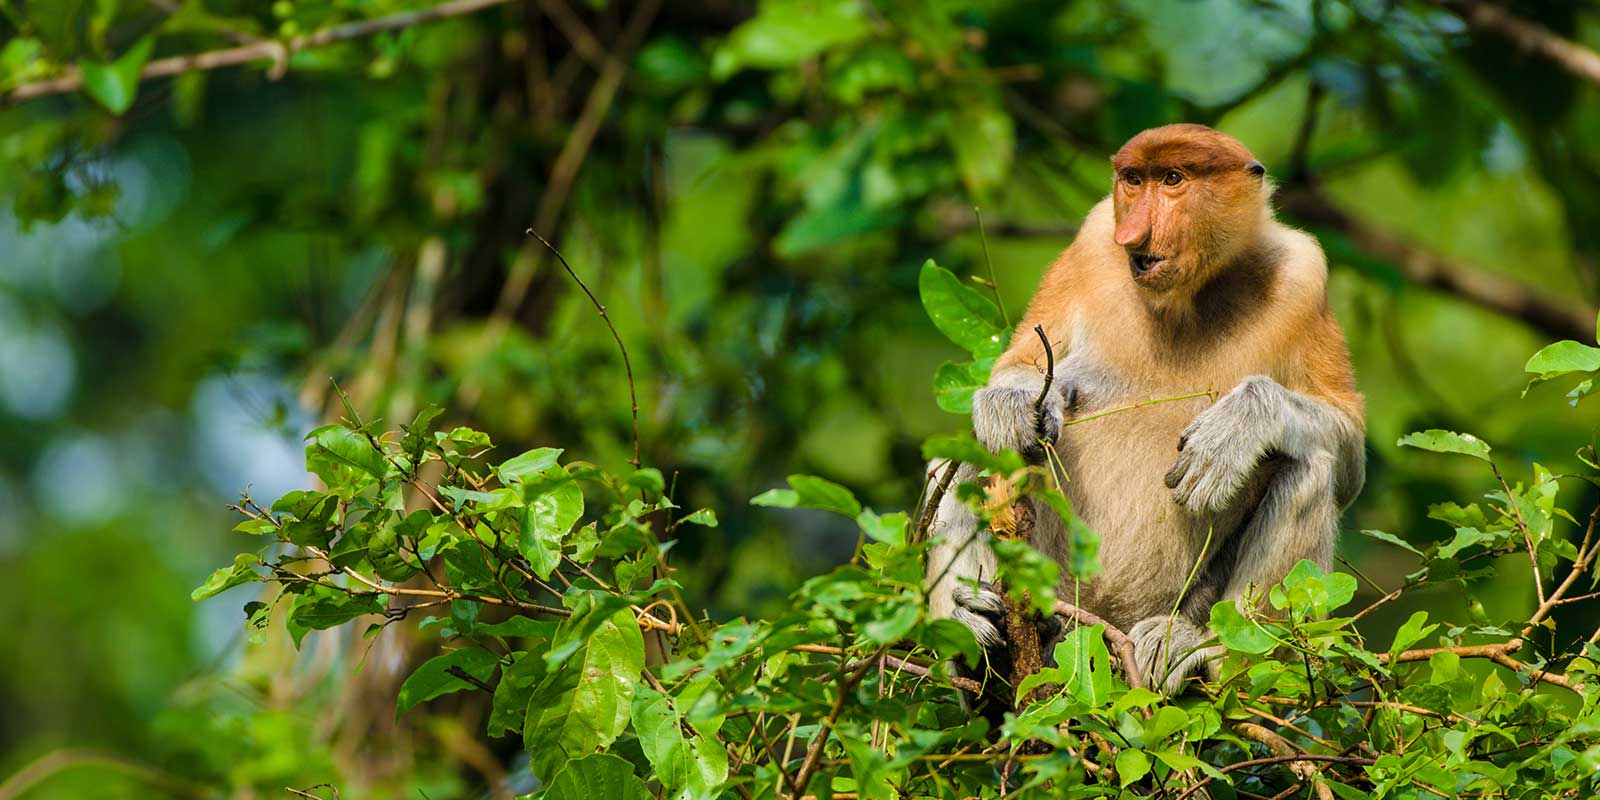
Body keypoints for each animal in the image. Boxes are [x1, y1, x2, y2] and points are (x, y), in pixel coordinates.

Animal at [925, 124, 1365, 697]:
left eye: (1173, 179)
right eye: (1134, 180)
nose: (1131, 234)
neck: (1186, 298)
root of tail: (1106, 628)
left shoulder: (1303, 276)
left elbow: (1348, 446)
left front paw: (1238, 428)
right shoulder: (1092, 241)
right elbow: (1018, 367)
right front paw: (1011, 405)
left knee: (1309, 469)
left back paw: (1193, 649)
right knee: (963, 464)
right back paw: (979, 647)